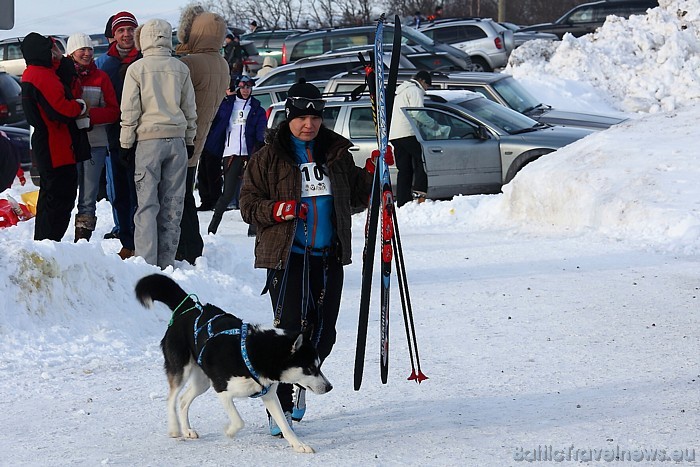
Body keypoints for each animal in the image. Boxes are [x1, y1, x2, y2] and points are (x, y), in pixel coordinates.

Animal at [137, 274, 336, 454]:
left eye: (319, 366)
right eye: (310, 368)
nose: (329, 387)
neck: (254, 353)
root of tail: (190, 307)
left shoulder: (269, 394)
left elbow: (285, 426)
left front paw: (299, 445)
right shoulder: (222, 390)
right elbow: (239, 421)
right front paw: (228, 431)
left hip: (203, 381)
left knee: (183, 399)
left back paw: (187, 430)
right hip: (182, 369)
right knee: (172, 398)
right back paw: (174, 428)